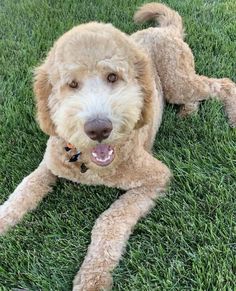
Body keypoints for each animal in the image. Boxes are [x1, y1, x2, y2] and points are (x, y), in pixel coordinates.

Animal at [0, 2, 236, 291]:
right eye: (72, 84)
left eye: (113, 77)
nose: (99, 129)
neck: (86, 162)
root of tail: (163, 30)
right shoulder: (48, 164)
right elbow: (23, 192)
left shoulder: (156, 177)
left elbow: (109, 220)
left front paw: (93, 278)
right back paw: (188, 113)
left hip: (178, 80)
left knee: (223, 84)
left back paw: (231, 116)